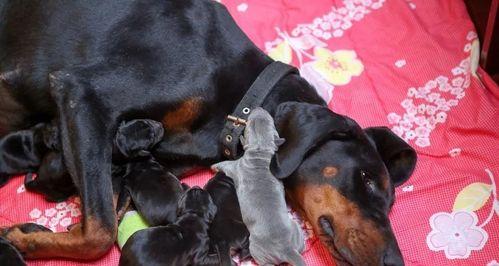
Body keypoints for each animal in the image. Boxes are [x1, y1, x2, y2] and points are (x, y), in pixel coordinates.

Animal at [212, 107, 304, 266]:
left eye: (248, 123)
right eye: (270, 121)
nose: (258, 108)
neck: (260, 150)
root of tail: (287, 250)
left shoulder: (236, 167)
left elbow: (225, 165)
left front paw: (214, 166)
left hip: (256, 248)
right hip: (296, 232)